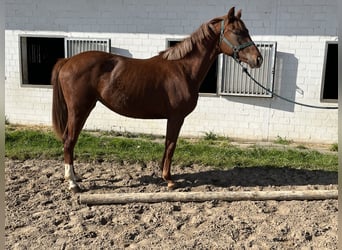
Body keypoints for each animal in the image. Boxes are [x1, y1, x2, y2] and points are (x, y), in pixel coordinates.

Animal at [50, 7, 262, 191]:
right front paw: (169, 179)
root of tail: (67, 61)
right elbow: (171, 145)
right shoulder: (176, 117)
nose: (258, 59)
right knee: (69, 140)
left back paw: (75, 177)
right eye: (237, 32)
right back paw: (73, 183)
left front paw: (164, 175)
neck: (183, 69)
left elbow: (168, 145)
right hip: (79, 109)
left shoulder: (173, 118)